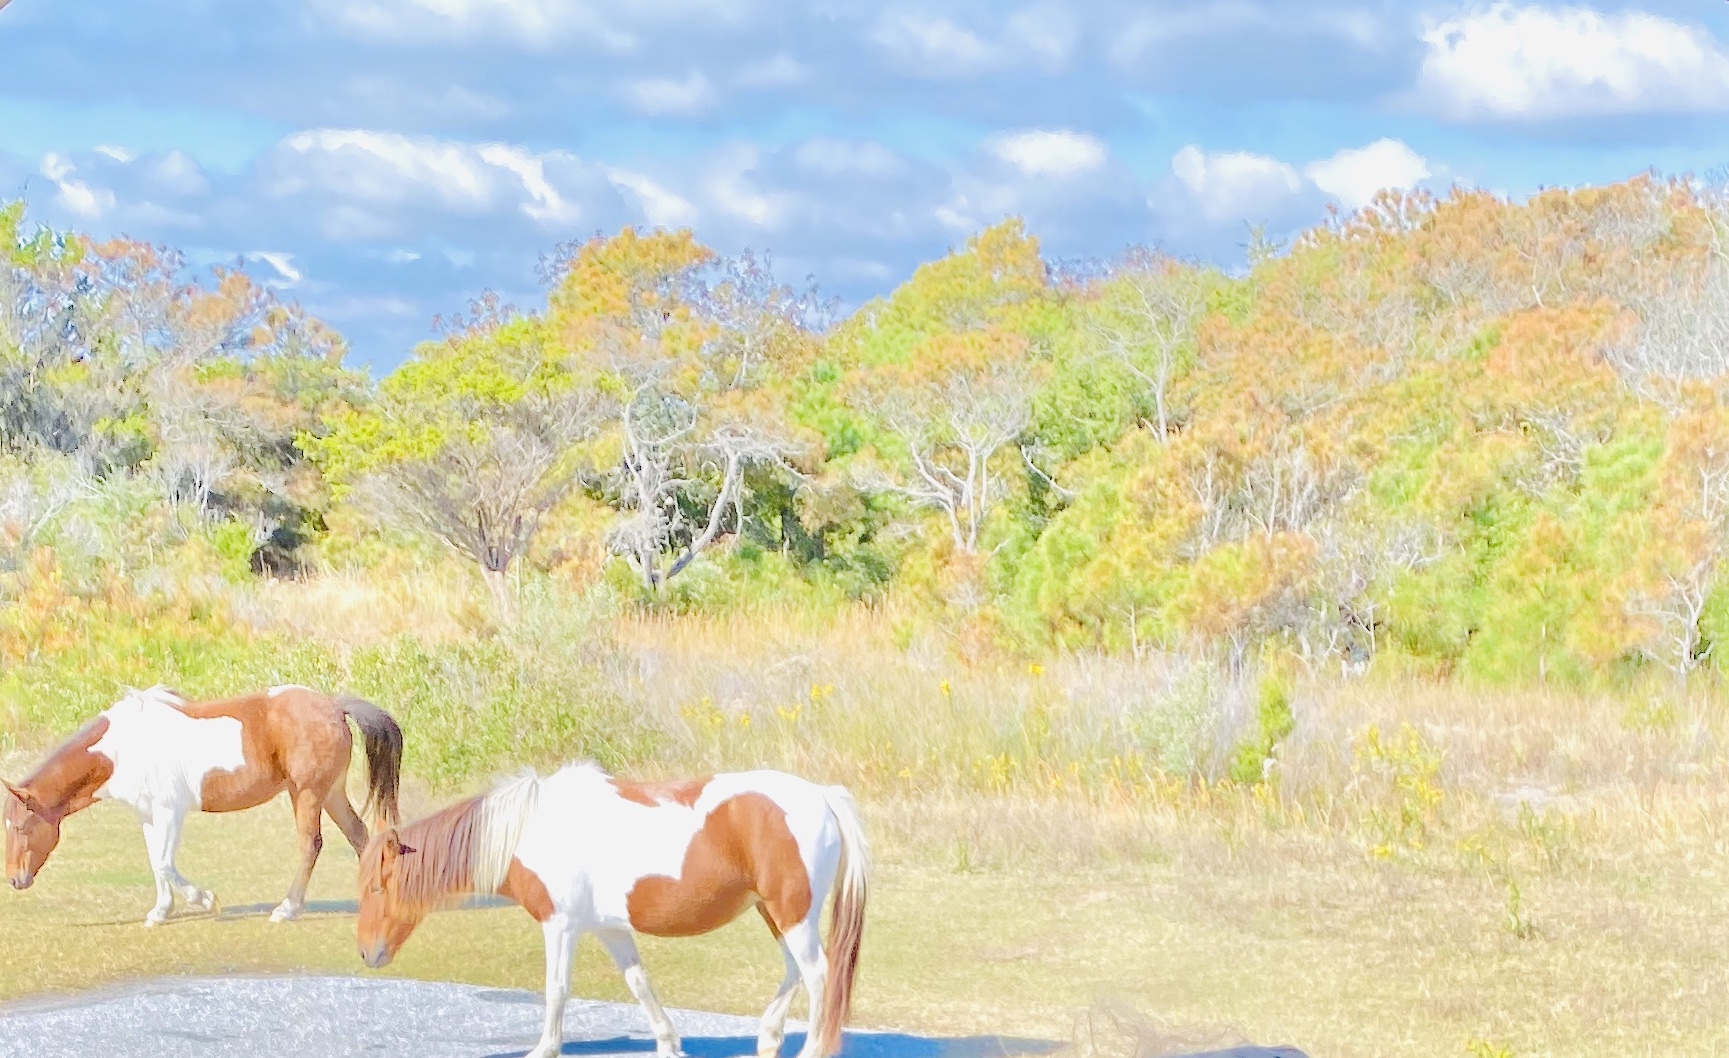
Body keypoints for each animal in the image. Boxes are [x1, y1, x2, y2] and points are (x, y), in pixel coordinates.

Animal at [3, 683, 402, 926]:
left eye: (21, 827)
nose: (14, 879)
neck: (123, 747)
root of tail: (333, 706)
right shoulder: (149, 815)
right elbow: (156, 863)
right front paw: (160, 912)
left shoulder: (170, 812)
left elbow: (166, 864)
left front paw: (207, 900)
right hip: (330, 793)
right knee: (360, 836)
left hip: (305, 794)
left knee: (311, 845)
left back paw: (287, 908)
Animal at [357, 762, 868, 1058]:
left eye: (378, 887)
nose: (367, 953)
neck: (532, 829)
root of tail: (823, 796)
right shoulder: (610, 930)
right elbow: (639, 984)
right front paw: (668, 1045)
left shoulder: (560, 925)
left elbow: (556, 989)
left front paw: (545, 1048)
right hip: (775, 912)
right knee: (796, 971)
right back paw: (768, 1037)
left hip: (791, 912)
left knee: (818, 975)